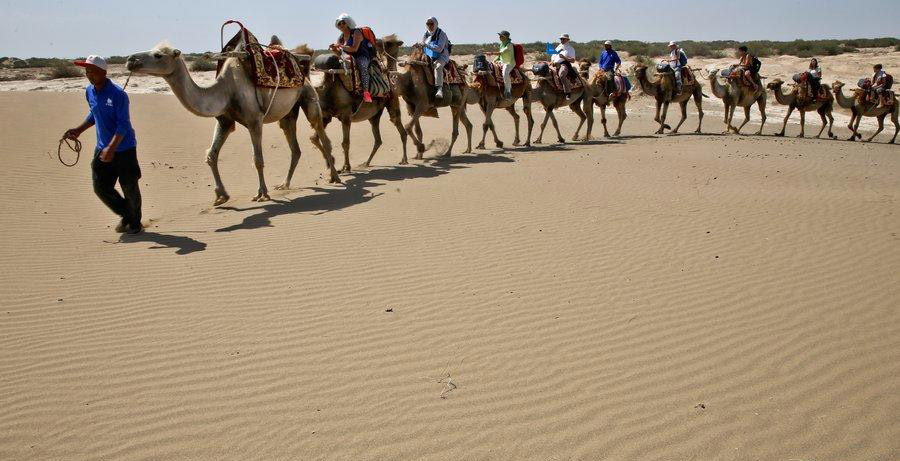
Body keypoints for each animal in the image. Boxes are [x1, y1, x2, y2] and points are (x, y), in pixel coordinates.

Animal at [310, 35, 408, 170]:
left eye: (389, 43)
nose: (376, 43)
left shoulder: (345, 115)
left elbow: (345, 143)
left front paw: (346, 166)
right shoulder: (328, 116)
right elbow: (315, 139)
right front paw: (332, 162)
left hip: (387, 105)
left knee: (399, 129)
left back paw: (404, 159)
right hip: (373, 115)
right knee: (379, 139)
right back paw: (366, 163)